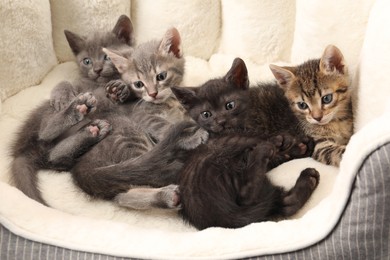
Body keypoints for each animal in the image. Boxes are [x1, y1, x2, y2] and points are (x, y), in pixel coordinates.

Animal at [9, 14, 135, 205]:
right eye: (87, 61)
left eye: (106, 57)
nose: (97, 69)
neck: (99, 84)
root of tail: (23, 151)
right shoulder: (80, 85)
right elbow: (66, 83)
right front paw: (62, 95)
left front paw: (120, 88)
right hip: (46, 111)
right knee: (45, 132)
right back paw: (74, 110)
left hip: (63, 158)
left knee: (54, 155)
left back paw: (91, 131)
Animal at [68, 27, 207, 211]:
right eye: (139, 84)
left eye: (161, 76)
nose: (153, 94)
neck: (170, 101)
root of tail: (80, 166)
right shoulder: (142, 115)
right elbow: (166, 127)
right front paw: (191, 137)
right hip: (130, 133)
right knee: (141, 176)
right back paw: (166, 191)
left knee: (121, 195)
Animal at [171, 58, 320, 229]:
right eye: (206, 114)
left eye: (230, 105)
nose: (221, 121)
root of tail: (220, 220)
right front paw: (287, 143)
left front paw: (298, 147)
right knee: (246, 195)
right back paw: (267, 148)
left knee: (283, 204)